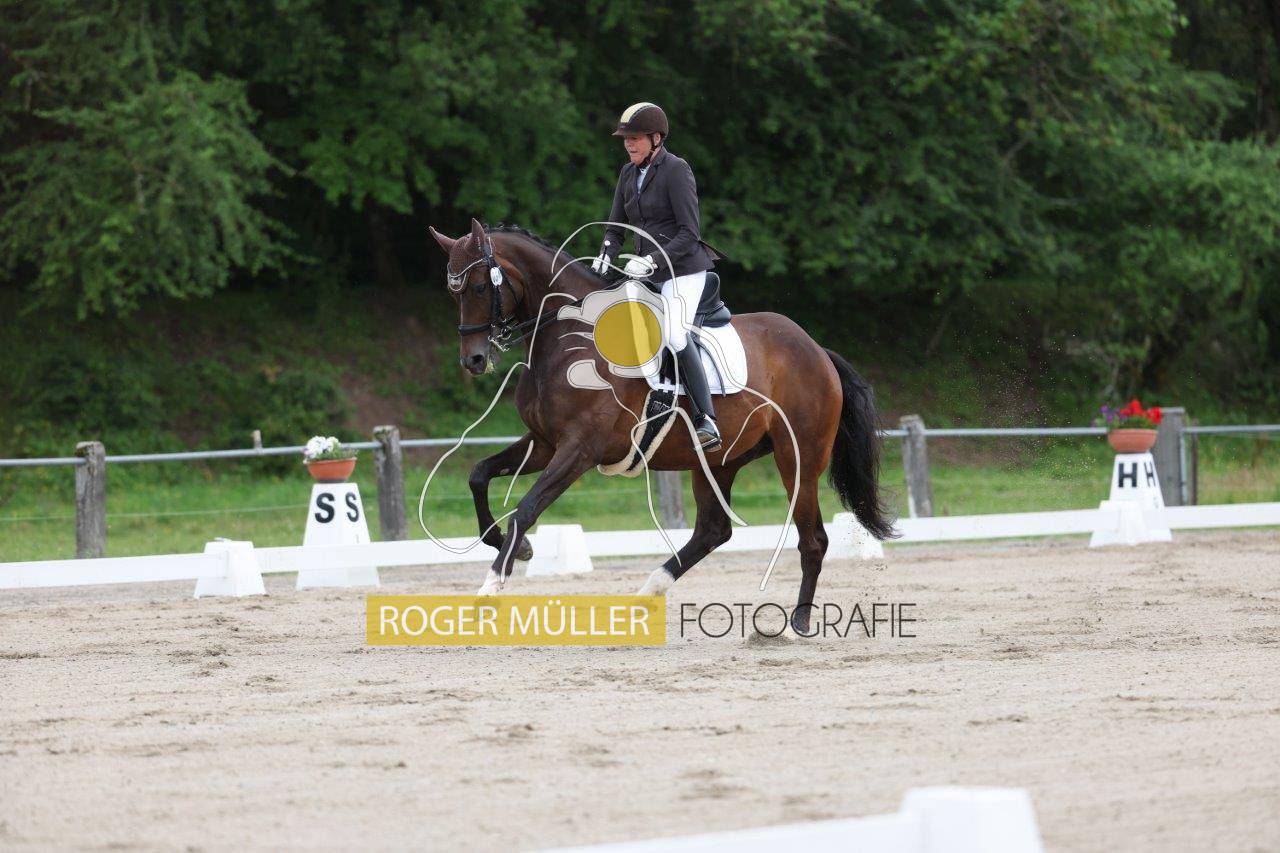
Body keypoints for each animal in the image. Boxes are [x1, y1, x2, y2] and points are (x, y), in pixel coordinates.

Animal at [428, 218, 894, 633]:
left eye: (480, 287)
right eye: (453, 293)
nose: (473, 360)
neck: (568, 336)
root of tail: (816, 349)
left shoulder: (579, 450)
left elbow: (525, 509)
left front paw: (490, 589)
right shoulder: (544, 442)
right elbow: (478, 475)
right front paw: (517, 549)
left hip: (798, 458)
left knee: (812, 539)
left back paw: (796, 623)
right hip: (719, 460)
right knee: (713, 530)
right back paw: (643, 596)